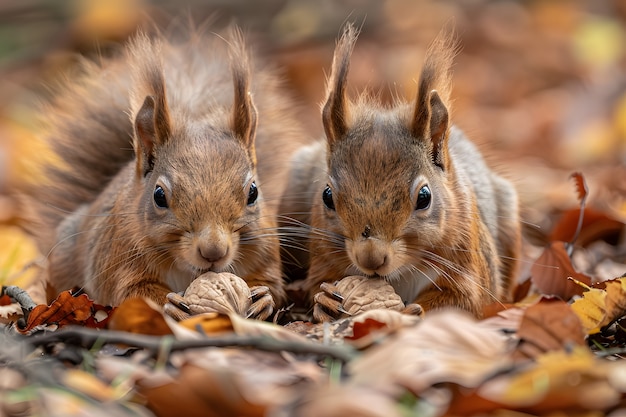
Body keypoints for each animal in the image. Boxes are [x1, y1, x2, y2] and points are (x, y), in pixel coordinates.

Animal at [26, 25, 304, 318]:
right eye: (159, 196)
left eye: (253, 193)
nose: (213, 251)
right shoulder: (120, 262)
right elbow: (132, 294)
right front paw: (169, 305)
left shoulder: (265, 251)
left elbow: (272, 283)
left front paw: (263, 298)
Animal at [280, 24, 520, 320]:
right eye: (326, 196)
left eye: (424, 197)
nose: (371, 258)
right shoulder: (325, 256)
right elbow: (318, 282)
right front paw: (325, 301)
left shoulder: (467, 266)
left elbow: (463, 301)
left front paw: (410, 313)